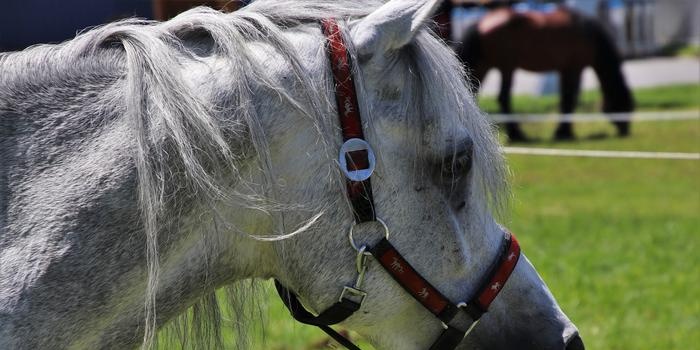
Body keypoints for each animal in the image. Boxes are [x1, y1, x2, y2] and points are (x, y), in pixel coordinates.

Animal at [460, 5, 636, 141]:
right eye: (624, 104)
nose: (625, 130)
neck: (588, 33)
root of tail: (481, 23)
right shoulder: (575, 68)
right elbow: (570, 99)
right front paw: (564, 133)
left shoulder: (564, 70)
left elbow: (565, 99)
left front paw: (563, 131)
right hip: (506, 68)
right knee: (503, 97)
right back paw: (517, 135)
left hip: (485, 66)